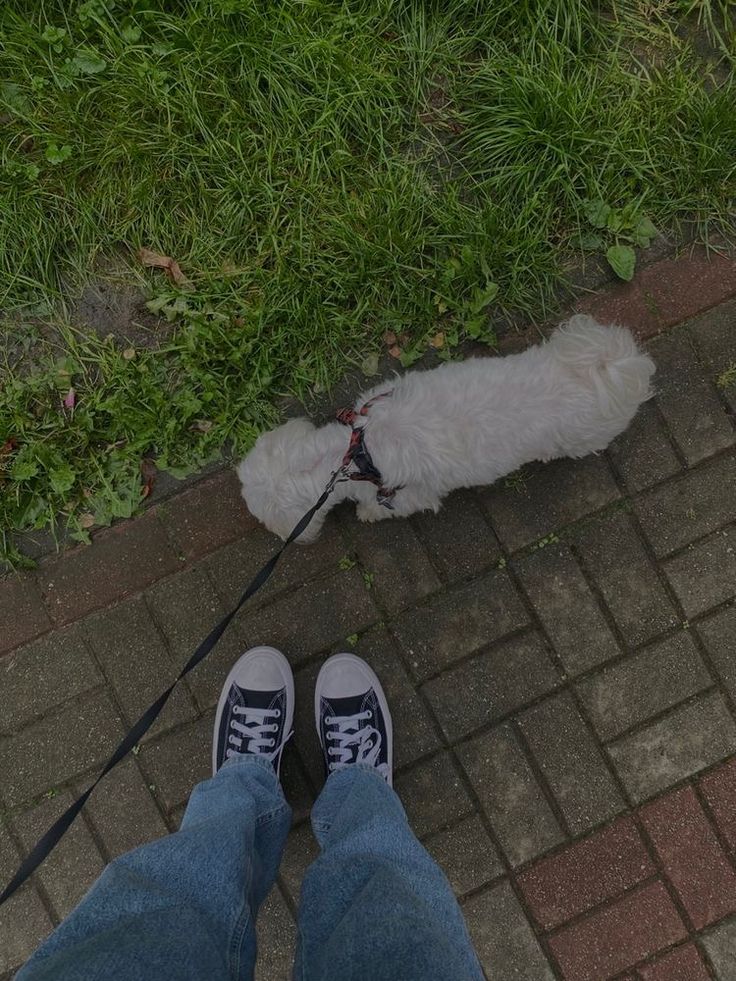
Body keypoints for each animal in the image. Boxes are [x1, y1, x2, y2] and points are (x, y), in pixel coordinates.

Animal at [240, 316, 656, 540]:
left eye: (256, 510)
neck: (355, 453)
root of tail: (605, 371)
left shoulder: (406, 496)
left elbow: (383, 506)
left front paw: (367, 514)